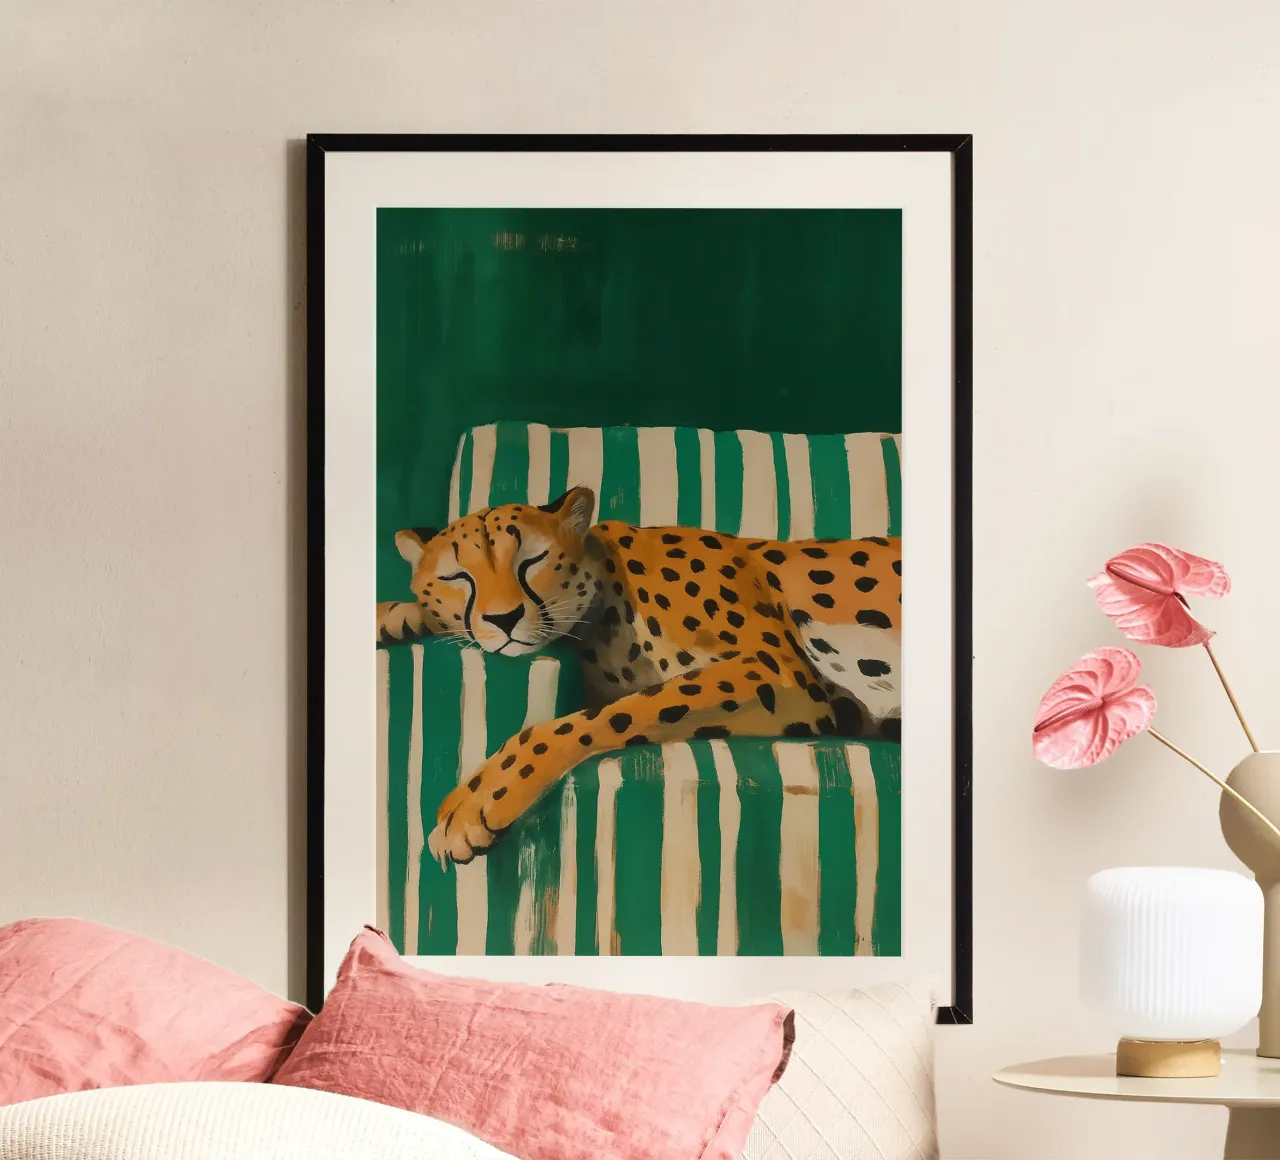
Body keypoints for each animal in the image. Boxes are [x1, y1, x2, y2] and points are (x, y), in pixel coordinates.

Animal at [376, 485, 902, 866]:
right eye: (457, 578)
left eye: (532, 561)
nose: (503, 619)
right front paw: (395, 614)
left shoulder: (776, 673)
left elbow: (608, 716)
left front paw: (474, 803)